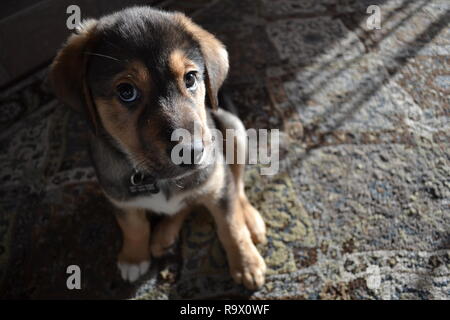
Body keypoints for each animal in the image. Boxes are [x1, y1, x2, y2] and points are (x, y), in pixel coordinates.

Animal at [49, 5, 268, 290]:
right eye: (126, 91)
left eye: (190, 78)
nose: (193, 152)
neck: (157, 178)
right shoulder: (120, 197)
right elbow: (134, 227)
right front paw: (133, 257)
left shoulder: (218, 182)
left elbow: (231, 225)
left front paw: (246, 263)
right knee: (184, 204)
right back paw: (163, 236)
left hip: (234, 130)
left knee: (237, 184)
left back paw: (250, 219)